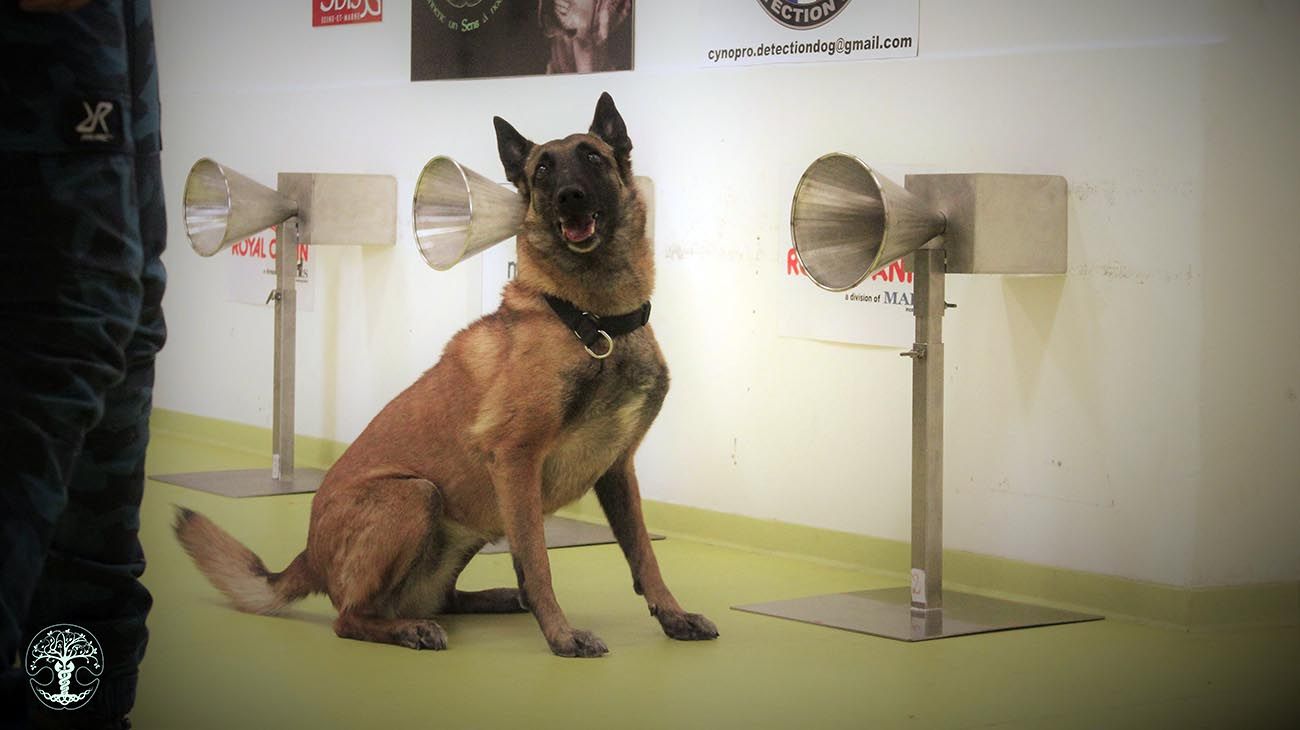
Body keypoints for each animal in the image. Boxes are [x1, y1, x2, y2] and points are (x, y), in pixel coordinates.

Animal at [174, 90, 722, 654]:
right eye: (542, 169)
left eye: (592, 157)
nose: (569, 197)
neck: (591, 321)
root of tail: (308, 555)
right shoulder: (516, 459)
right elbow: (539, 561)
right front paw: (561, 635)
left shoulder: (616, 469)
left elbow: (643, 555)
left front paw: (673, 615)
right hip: (416, 494)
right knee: (351, 617)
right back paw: (411, 629)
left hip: (468, 527)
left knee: (439, 597)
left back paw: (495, 599)